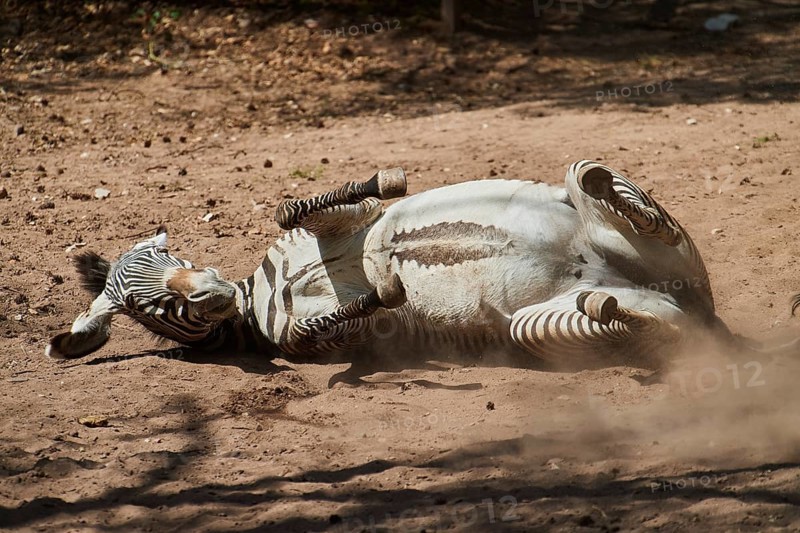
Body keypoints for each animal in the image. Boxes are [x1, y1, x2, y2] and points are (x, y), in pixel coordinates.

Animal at [46, 161, 798, 367]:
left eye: (166, 252)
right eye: (153, 309)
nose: (208, 292)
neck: (264, 295)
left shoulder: (335, 222)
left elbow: (298, 205)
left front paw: (388, 184)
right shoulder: (326, 342)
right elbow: (353, 313)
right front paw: (386, 286)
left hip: (628, 236)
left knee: (598, 189)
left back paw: (604, 187)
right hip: (540, 325)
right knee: (648, 326)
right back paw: (606, 306)